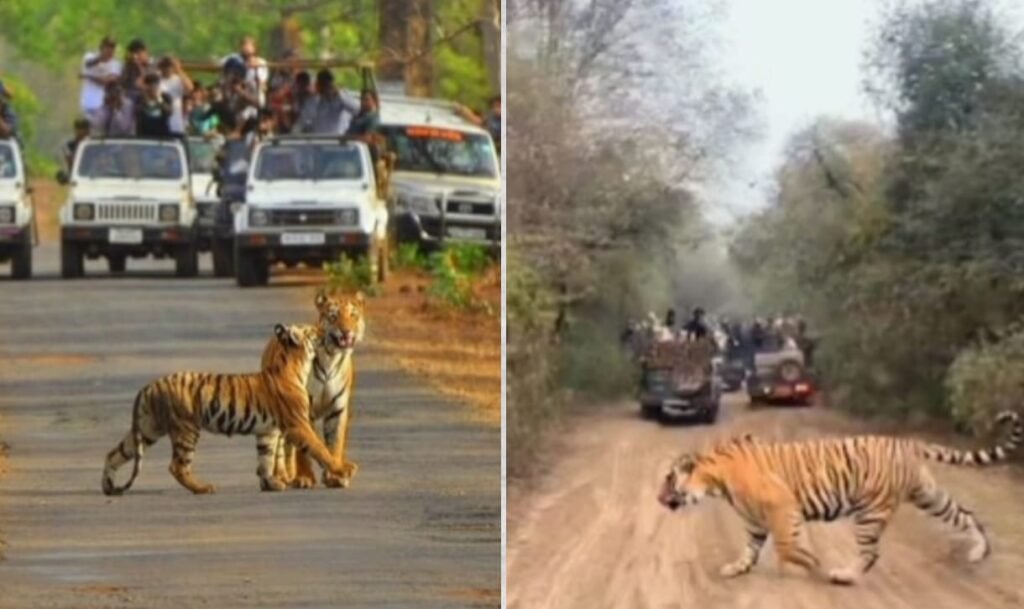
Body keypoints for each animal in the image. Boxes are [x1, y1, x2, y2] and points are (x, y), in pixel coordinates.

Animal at [101, 323, 352, 496]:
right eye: (312, 330)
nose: (324, 329)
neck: (294, 364)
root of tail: (150, 386)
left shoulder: (268, 431)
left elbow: (266, 458)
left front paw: (270, 483)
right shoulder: (298, 424)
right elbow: (320, 449)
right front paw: (342, 470)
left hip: (147, 429)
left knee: (114, 453)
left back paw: (108, 486)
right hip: (186, 429)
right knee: (177, 466)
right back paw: (203, 488)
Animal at [271, 289, 364, 489]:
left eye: (353, 315)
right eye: (333, 316)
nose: (346, 331)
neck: (332, 357)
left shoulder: (338, 409)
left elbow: (334, 444)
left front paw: (335, 476)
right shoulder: (301, 409)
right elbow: (304, 448)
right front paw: (304, 478)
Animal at [657, 411, 1022, 585]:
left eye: (669, 480)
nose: (659, 500)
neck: (714, 479)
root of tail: (907, 442)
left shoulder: (782, 506)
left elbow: (786, 546)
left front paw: (814, 563)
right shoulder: (756, 522)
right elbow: (750, 549)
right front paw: (737, 568)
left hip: (870, 511)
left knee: (871, 553)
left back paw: (843, 575)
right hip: (928, 495)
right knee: (965, 515)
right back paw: (978, 552)